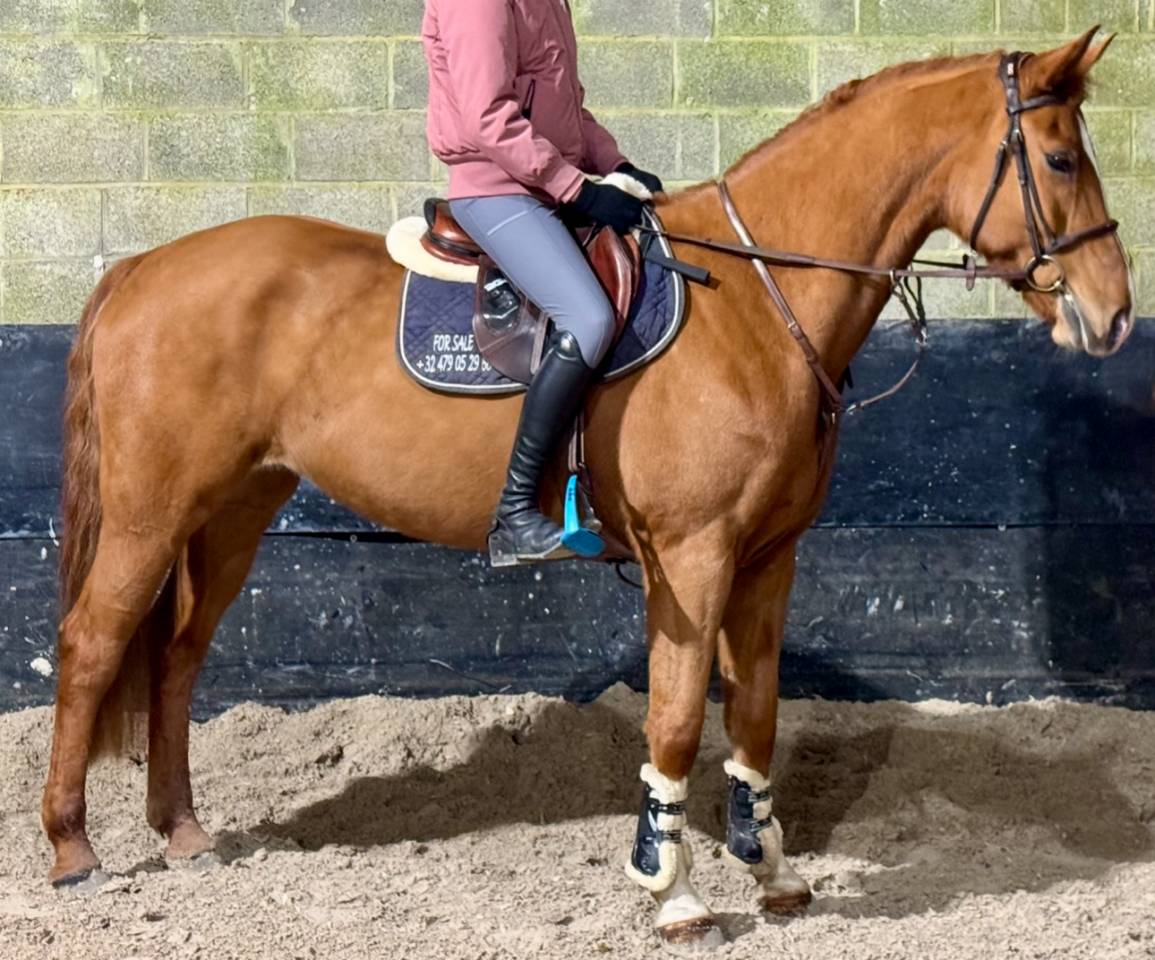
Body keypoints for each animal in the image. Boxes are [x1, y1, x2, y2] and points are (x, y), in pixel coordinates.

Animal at [42, 29, 1132, 949]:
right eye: (1060, 160)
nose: (1114, 314)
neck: (755, 302)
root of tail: (142, 266)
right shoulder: (692, 558)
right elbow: (678, 719)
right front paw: (673, 892)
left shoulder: (769, 559)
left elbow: (757, 713)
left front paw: (771, 870)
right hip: (149, 516)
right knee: (94, 647)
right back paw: (72, 850)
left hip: (234, 511)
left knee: (178, 657)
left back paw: (185, 835)